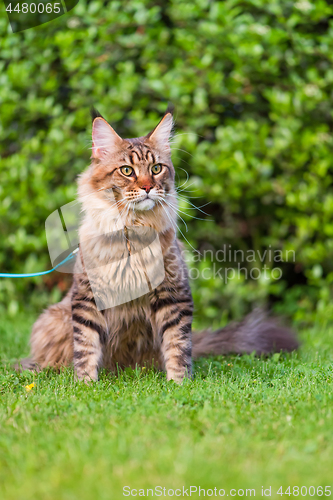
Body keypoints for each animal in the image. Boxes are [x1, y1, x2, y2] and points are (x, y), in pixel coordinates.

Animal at [18, 110, 298, 382]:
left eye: (156, 168)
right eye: (127, 170)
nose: (147, 187)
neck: (133, 230)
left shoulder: (172, 294)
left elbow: (177, 346)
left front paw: (179, 384)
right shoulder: (87, 296)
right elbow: (86, 347)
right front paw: (85, 384)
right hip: (53, 320)